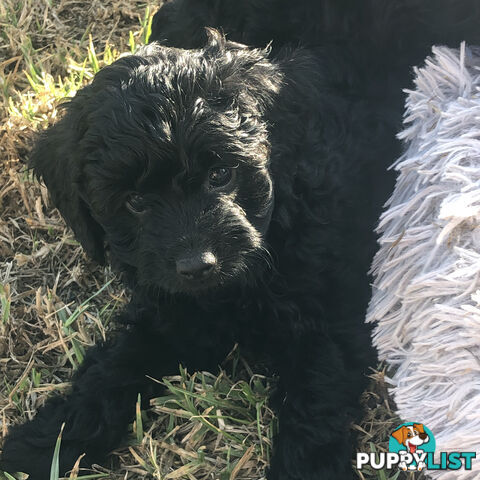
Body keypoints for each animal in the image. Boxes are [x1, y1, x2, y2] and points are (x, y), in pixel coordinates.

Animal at [0, 0, 480, 480]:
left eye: (221, 174)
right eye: (134, 201)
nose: (197, 265)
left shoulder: (329, 315)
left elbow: (315, 396)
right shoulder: (171, 306)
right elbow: (117, 365)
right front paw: (49, 441)